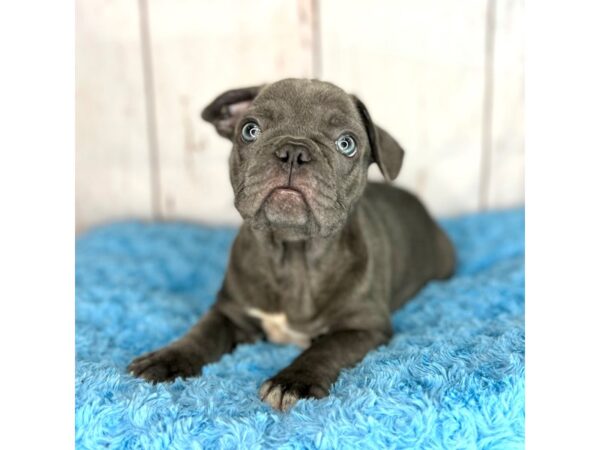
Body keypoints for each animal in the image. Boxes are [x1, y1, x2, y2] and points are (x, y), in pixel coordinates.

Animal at [127, 78, 454, 412]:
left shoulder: (364, 327)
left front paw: (294, 381)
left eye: (346, 144)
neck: (294, 253)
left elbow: (327, 348)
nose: (294, 151)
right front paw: (167, 358)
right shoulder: (230, 312)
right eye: (250, 130)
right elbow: (202, 333)